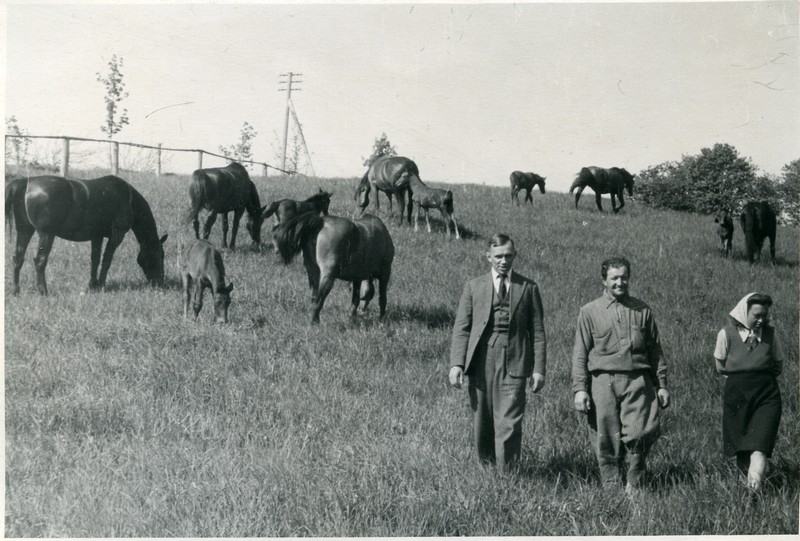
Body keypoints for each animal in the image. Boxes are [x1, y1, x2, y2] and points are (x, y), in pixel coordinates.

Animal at [5, 175, 169, 296]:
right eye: (160, 255)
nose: (160, 282)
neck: (129, 199)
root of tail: (26, 182)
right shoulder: (116, 236)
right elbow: (107, 260)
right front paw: (101, 285)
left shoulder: (97, 236)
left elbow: (95, 260)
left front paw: (92, 285)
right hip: (46, 234)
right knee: (39, 260)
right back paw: (43, 291)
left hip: (24, 231)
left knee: (18, 258)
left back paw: (16, 291)